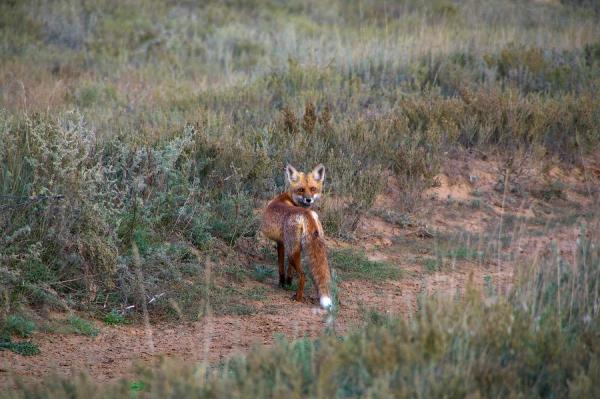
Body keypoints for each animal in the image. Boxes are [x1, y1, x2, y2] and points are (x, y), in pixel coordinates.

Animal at [262, 164, 332, 310]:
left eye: (313, 189)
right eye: (301, 190)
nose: (308, 199)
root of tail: (306, 213)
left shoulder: (281, 244)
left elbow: (281, 267)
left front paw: (282, 284)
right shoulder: (286, 245)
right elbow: (289, 270)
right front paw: (288, 283)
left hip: (291, 252)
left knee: (303, 275)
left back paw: (298, 298)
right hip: (298, 250)